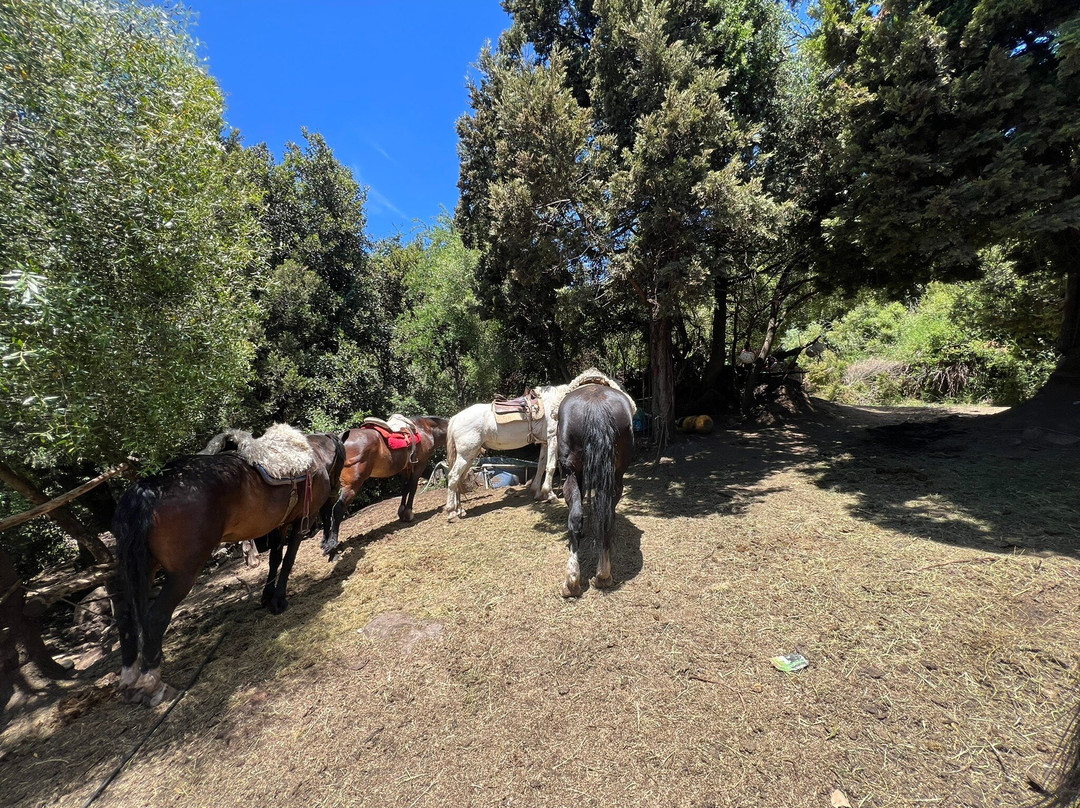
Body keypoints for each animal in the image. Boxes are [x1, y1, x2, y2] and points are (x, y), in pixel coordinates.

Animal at [112, 424, 345, 706]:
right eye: (343, 460)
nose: (338, 491)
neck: (311, 457)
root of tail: (147, 489)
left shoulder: (278, 525)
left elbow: (274, 560)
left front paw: (267, 597)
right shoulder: (302, 520)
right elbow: (288, 560)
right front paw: (279, 600)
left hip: (142, 567)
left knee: (125, 615)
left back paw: (129, 678)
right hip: (183, 573)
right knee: (155, 617)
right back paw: (153, 685)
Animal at [321, 415, 449, 559]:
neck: (426, 430)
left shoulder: (406, 468)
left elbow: (405, 489)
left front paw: (401, 512)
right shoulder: (420, 465)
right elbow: (412, 488)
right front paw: (408, 513)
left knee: (325, 511)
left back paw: (325, 543)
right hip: (351, 486)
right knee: (337, 509)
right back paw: (332, 546)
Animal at [444, 384, 569, 520]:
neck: (556, 402)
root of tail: (455, 418)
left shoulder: (544, 443)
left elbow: (541, 467)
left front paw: (538, 493)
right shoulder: (552, 438)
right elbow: (550, 467)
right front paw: (551, 495)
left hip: (470, 455)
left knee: (459, 479)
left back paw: (460, 510)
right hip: (465, 456)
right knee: (453, 476)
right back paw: (451, 512)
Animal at [555, 370, 636, 598]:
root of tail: (595, 405)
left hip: (572, 474)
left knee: (576, 517)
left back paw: (573, 581)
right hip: (615, 477)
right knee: (604, 516)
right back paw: (602, 575)